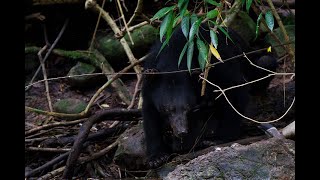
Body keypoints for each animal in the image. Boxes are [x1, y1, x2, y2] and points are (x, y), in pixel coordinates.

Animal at [141, 24, 276, 169]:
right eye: (167, 109)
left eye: (188, 108)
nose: (182, 131)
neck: (174, 58)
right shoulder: (149, 84)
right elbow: (150, 116)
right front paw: (157, 157)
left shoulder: (215, 61)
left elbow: (234, 89)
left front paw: (217, 139)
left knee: (265, 61)